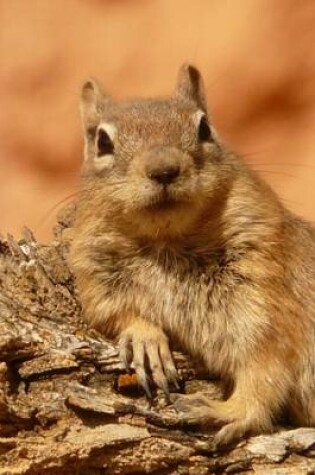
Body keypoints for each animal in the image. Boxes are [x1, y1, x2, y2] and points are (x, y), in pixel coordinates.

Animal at [70, 65, 315, 448]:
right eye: (103, 142)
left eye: (204, 128)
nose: (164, 170)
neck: (168, 242)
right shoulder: (96, 278)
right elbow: (113, 313)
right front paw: (145, 339)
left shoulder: (268, 300)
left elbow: (265, 370)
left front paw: (228, 411)